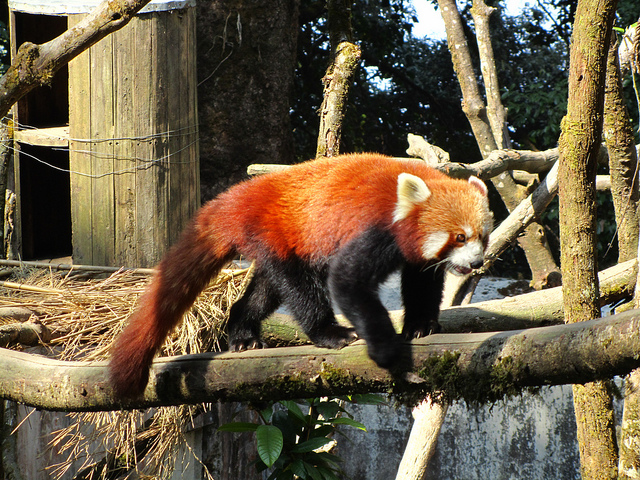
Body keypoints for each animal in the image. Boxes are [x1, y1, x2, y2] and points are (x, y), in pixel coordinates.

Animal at [110, 153, 492, 398]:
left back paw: (242, 332)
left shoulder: (415, 254)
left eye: (482, 236)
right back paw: (328, 332)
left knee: (264, 291)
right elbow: (347, 281)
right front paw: (385, 349)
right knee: (300, 288)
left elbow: (422, 282)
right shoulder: (374, 228)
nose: (476, 263)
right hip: (279, 235)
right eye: (460, 237)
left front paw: (421, 325)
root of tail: (241, 196)